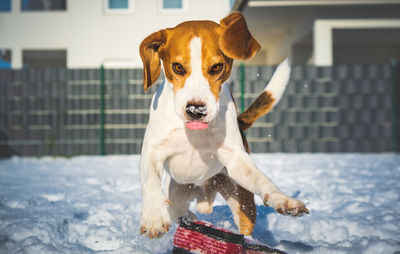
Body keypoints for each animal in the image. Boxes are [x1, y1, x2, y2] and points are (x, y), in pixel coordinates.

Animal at [138, 11, 310, 238]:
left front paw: (283, 199)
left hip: (240, 199)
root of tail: (205, 190)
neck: (194, 134)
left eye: (217, 67)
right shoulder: (152, 152)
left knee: (245, 229)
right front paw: (154, 216)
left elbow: (261, 179)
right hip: (177, 193)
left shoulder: (236, 159)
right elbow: (150, 181)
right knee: (179, 212)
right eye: (178, 67)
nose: (196, 110)